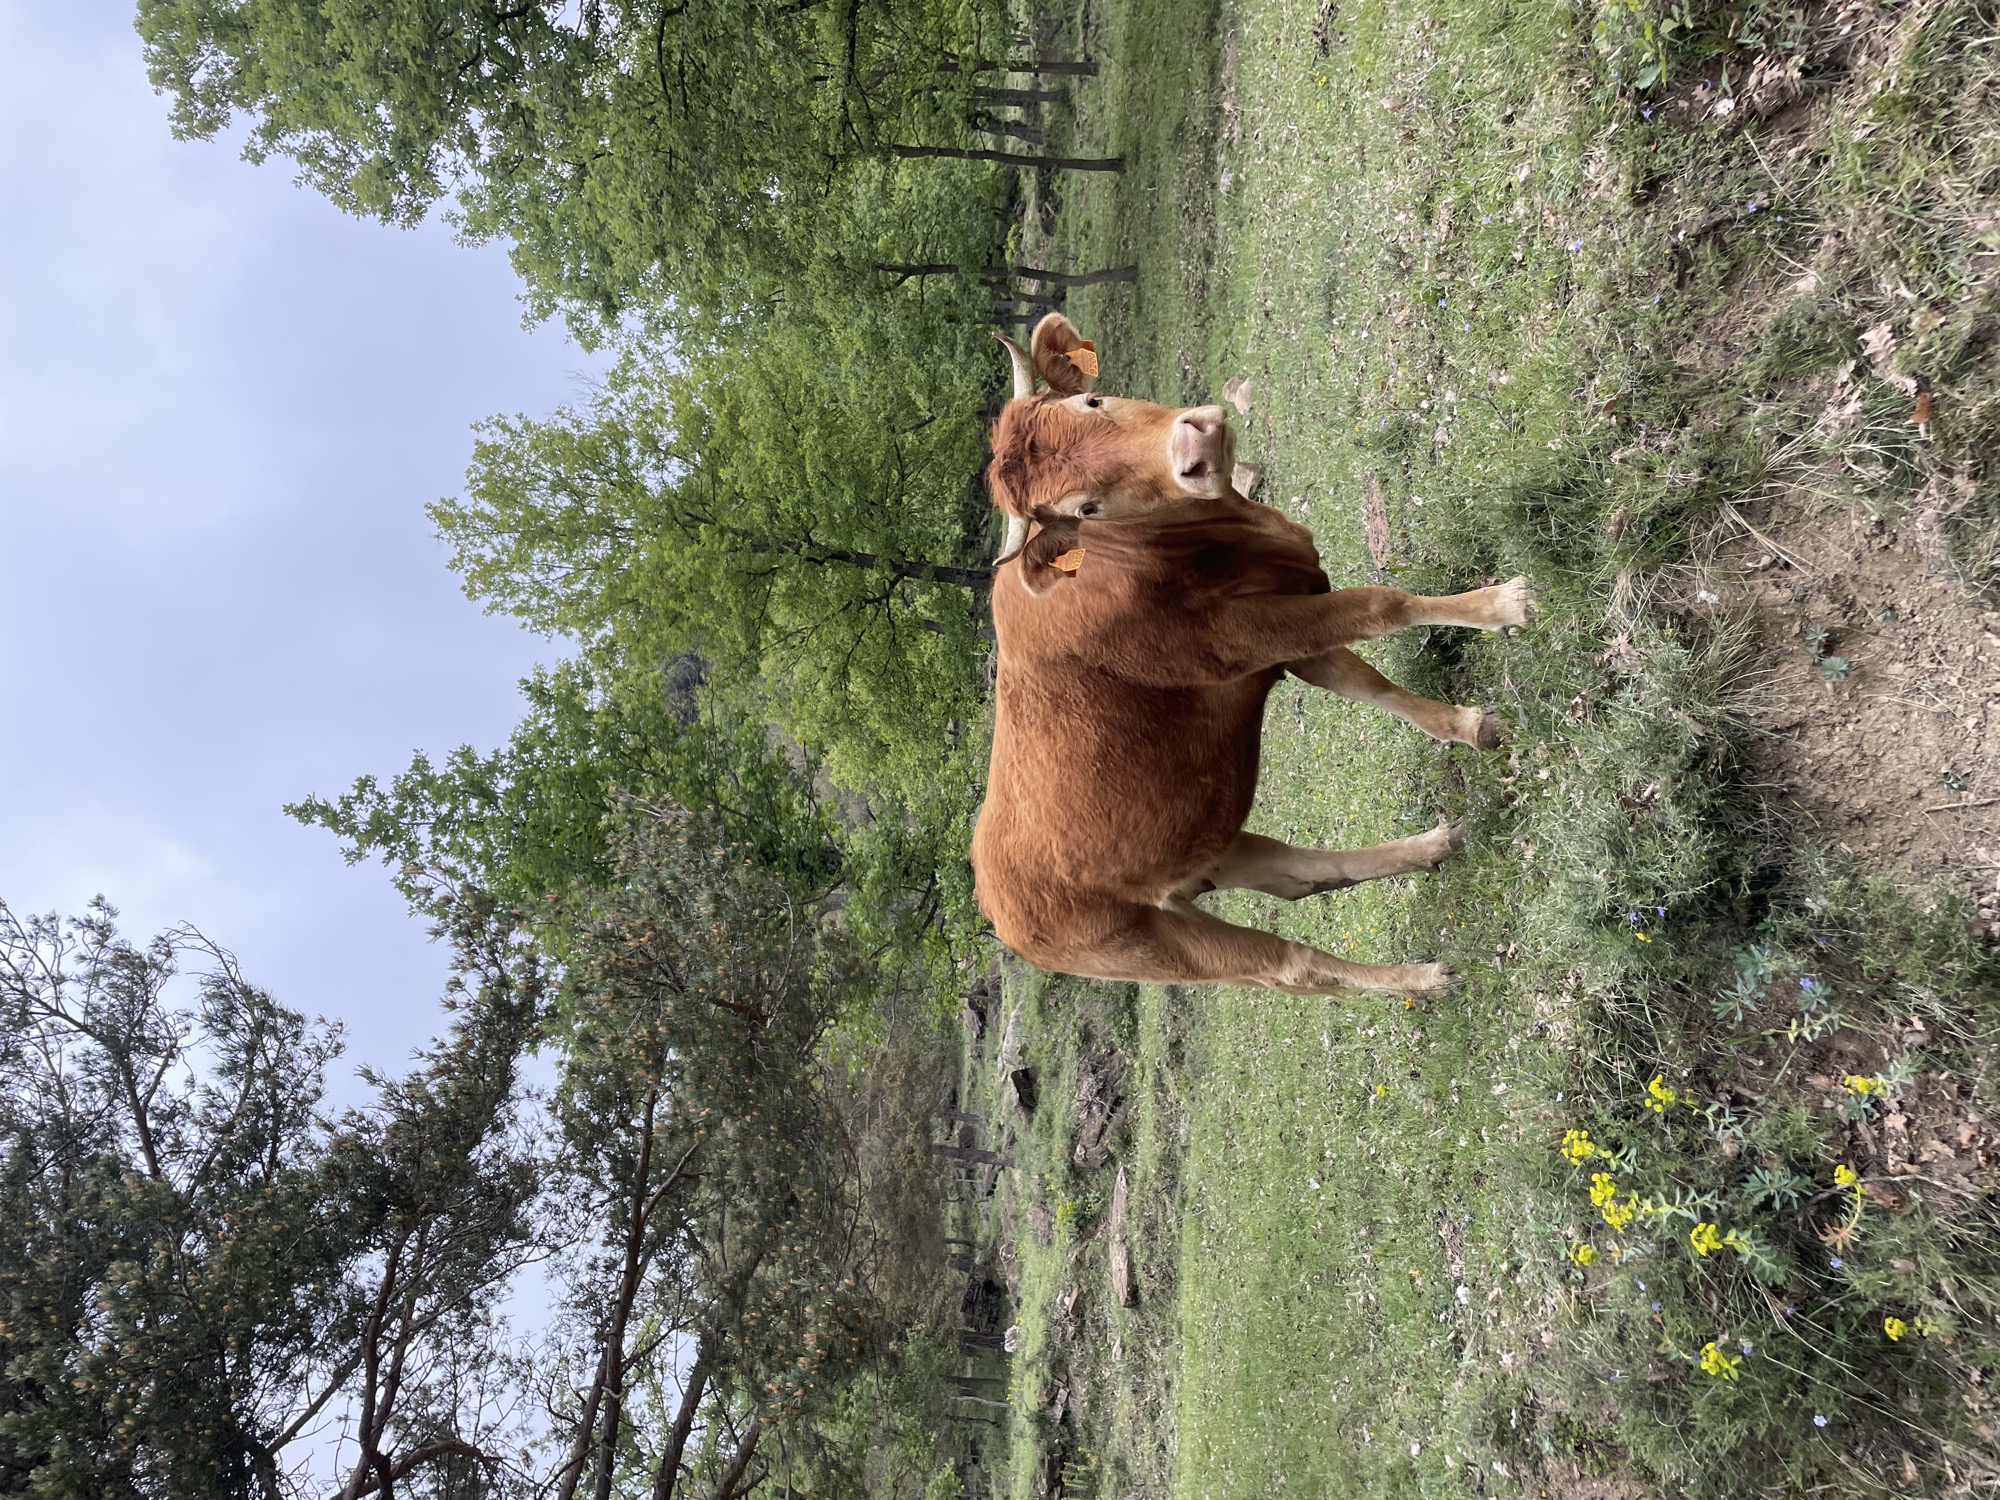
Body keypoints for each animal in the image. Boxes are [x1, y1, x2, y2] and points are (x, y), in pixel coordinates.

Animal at [969, 314, 1531, 997]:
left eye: (1093, 401)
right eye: (1086, 507)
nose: (1195, 447)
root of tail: (997, 909)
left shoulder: (1287, 639)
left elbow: (1369, 683)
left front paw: (1470, 727)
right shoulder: (1252, 633)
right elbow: (1380, 604)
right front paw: (1502, 605)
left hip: (1206, 850)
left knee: (1296, 873)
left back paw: (1434, 848)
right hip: (1161, 947)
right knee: (1293, 966)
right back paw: (1419, 980)